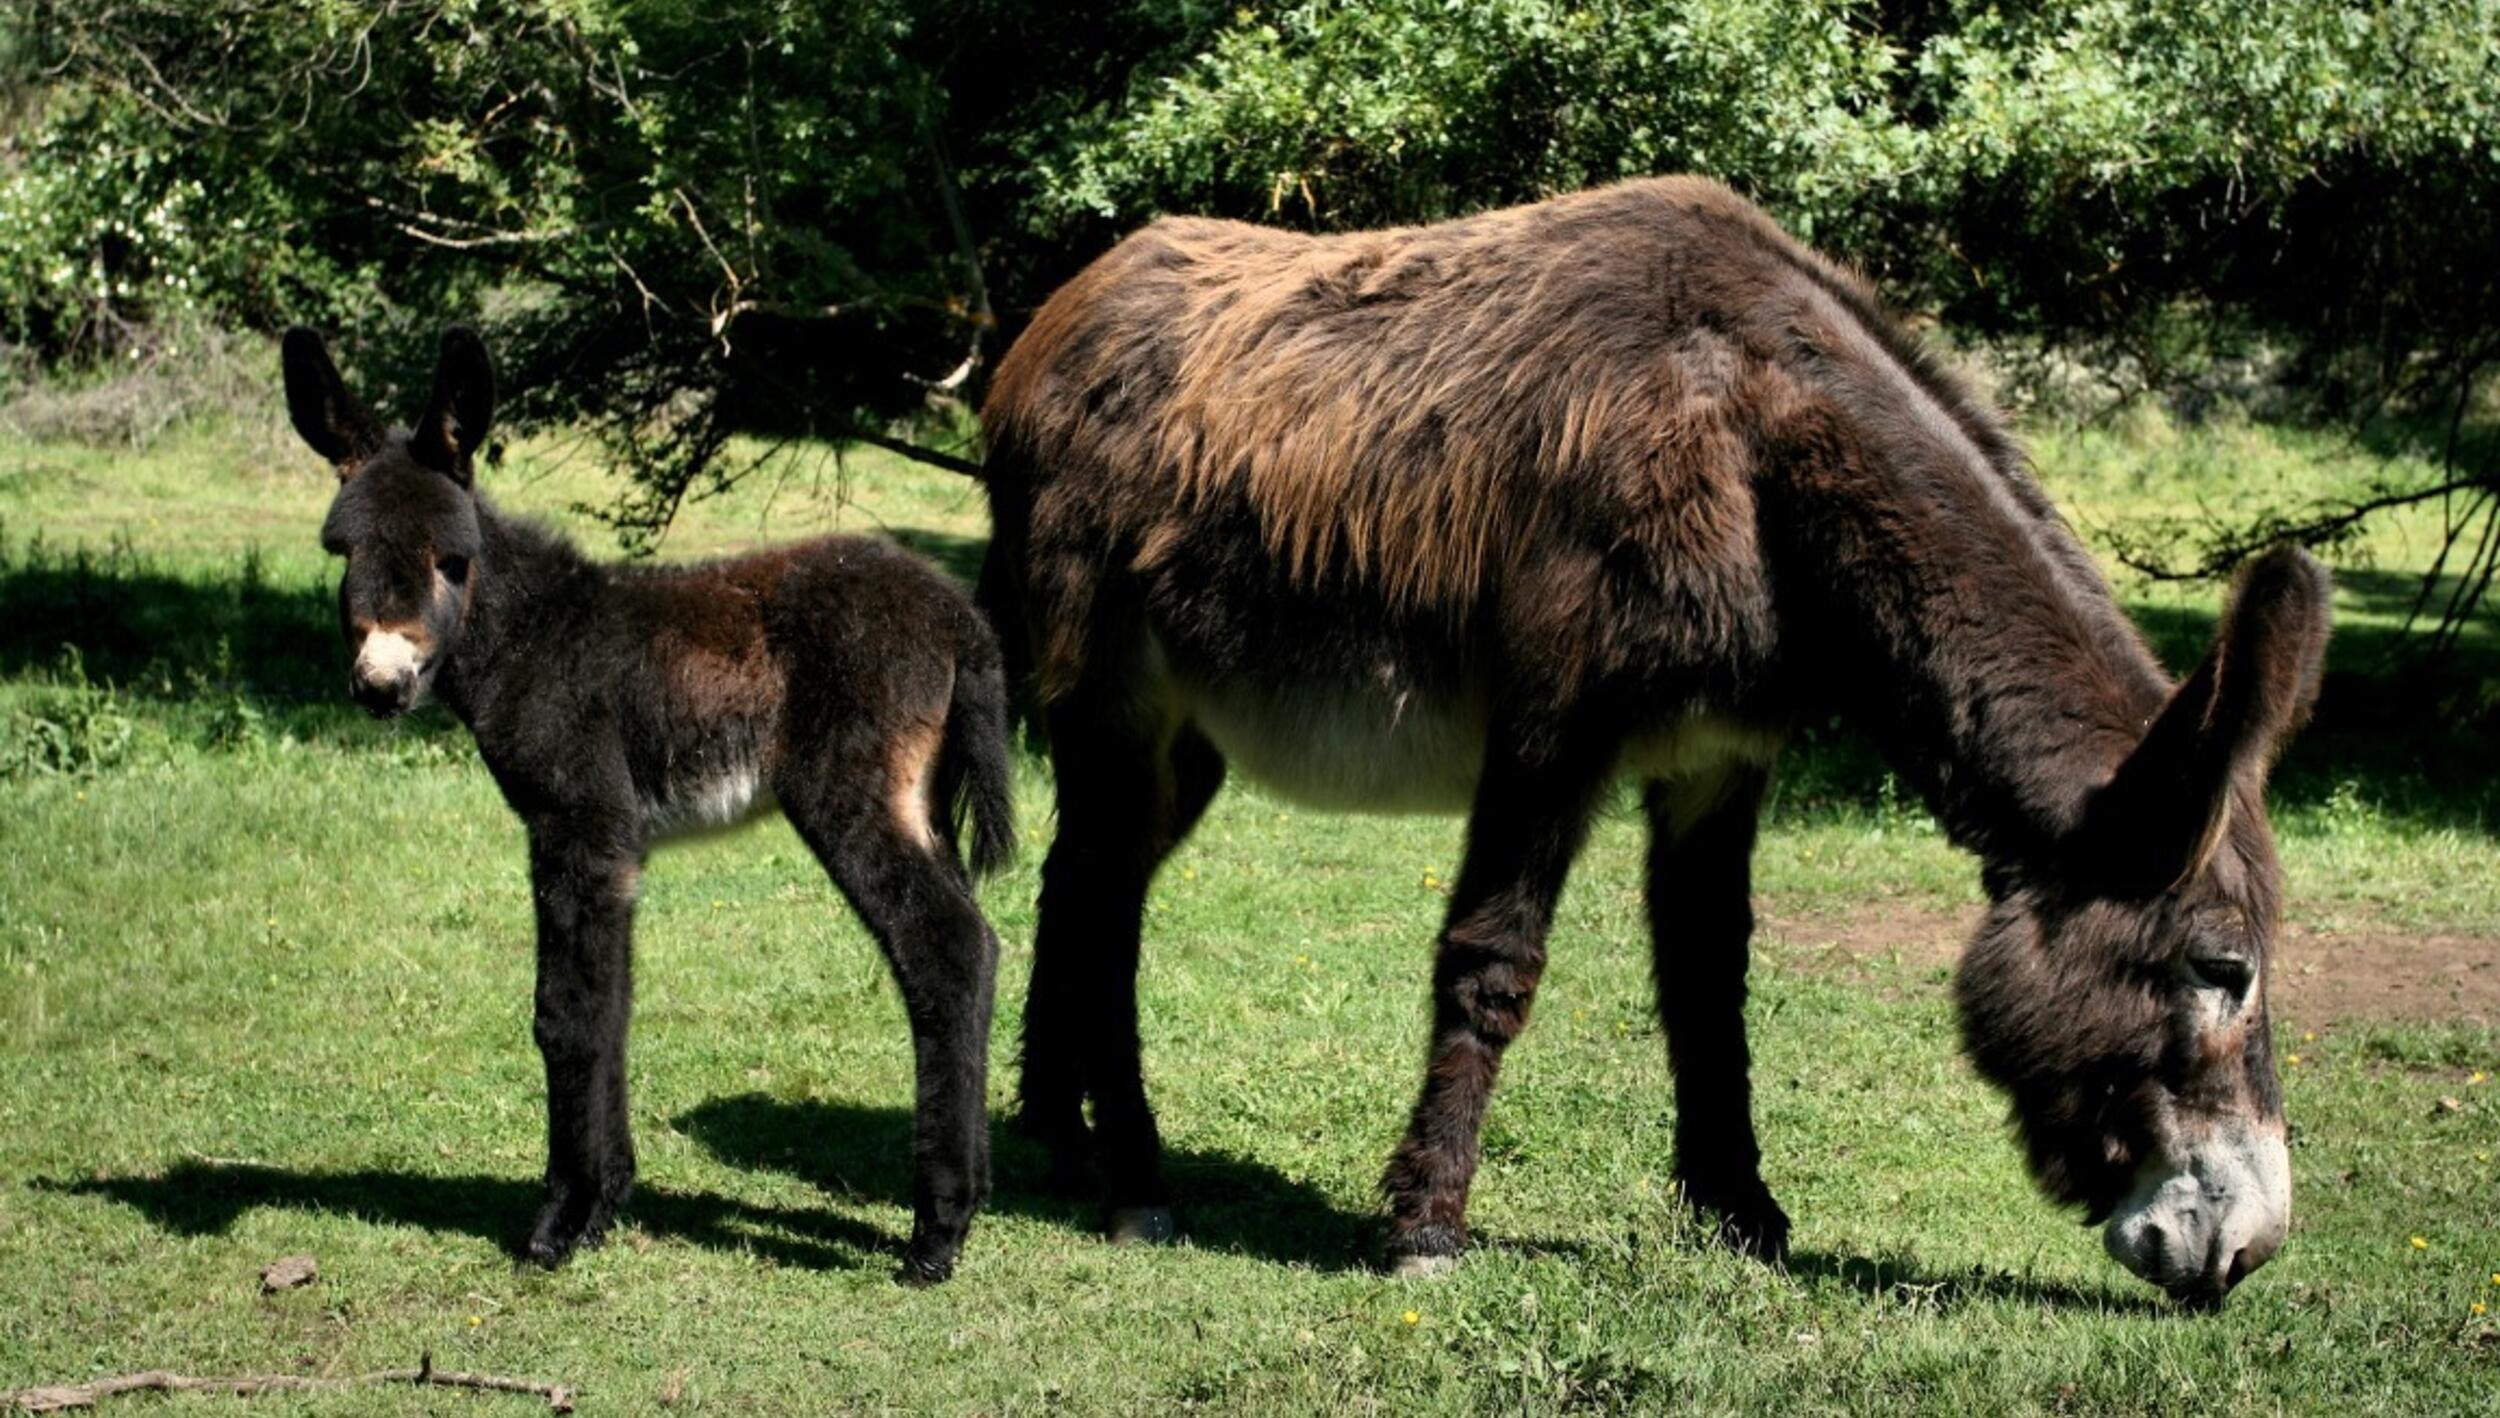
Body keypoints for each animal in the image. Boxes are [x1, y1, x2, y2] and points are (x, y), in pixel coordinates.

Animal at [281, 327, 1005, 1280]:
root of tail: (959, 615)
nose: (380, 687)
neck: (532, 637)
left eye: (451, 561)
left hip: (851, 794)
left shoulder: (577, 824)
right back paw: (971, 1197)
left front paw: (559, 1222)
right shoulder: (616, 847)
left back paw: (937, 1235)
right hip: (915, 801)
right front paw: (606, 1205)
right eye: (343, 554)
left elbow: (566, 1013)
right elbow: (614, 1003)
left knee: (944, 948)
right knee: (979, 946)